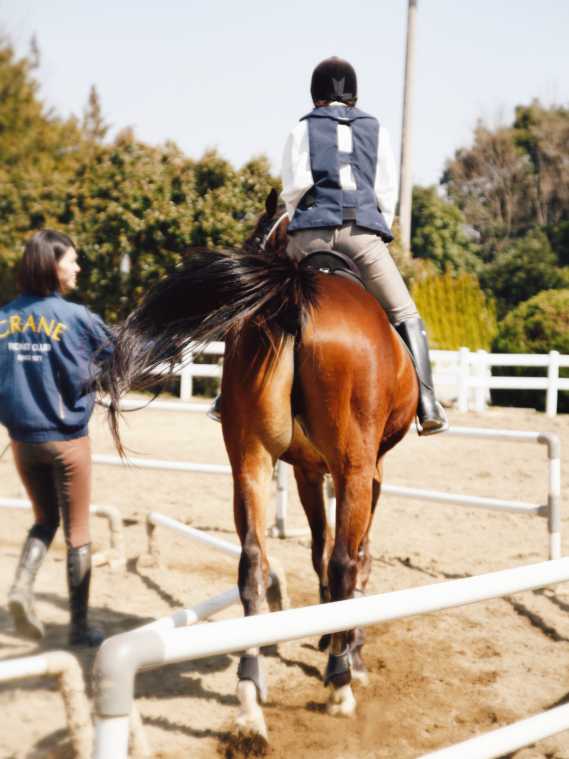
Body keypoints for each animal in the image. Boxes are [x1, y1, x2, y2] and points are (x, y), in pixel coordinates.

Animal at [104, 193, 420, 744]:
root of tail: (293, 294)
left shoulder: (307, 470)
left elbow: (316, 550)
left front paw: (325, 637)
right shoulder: (368, 470)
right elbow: (352, 557)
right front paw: (348, 652)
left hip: (249, 461)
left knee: (253, 562)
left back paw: (251, 700)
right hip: (353, 467)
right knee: (344, 560)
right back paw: (339, 682)